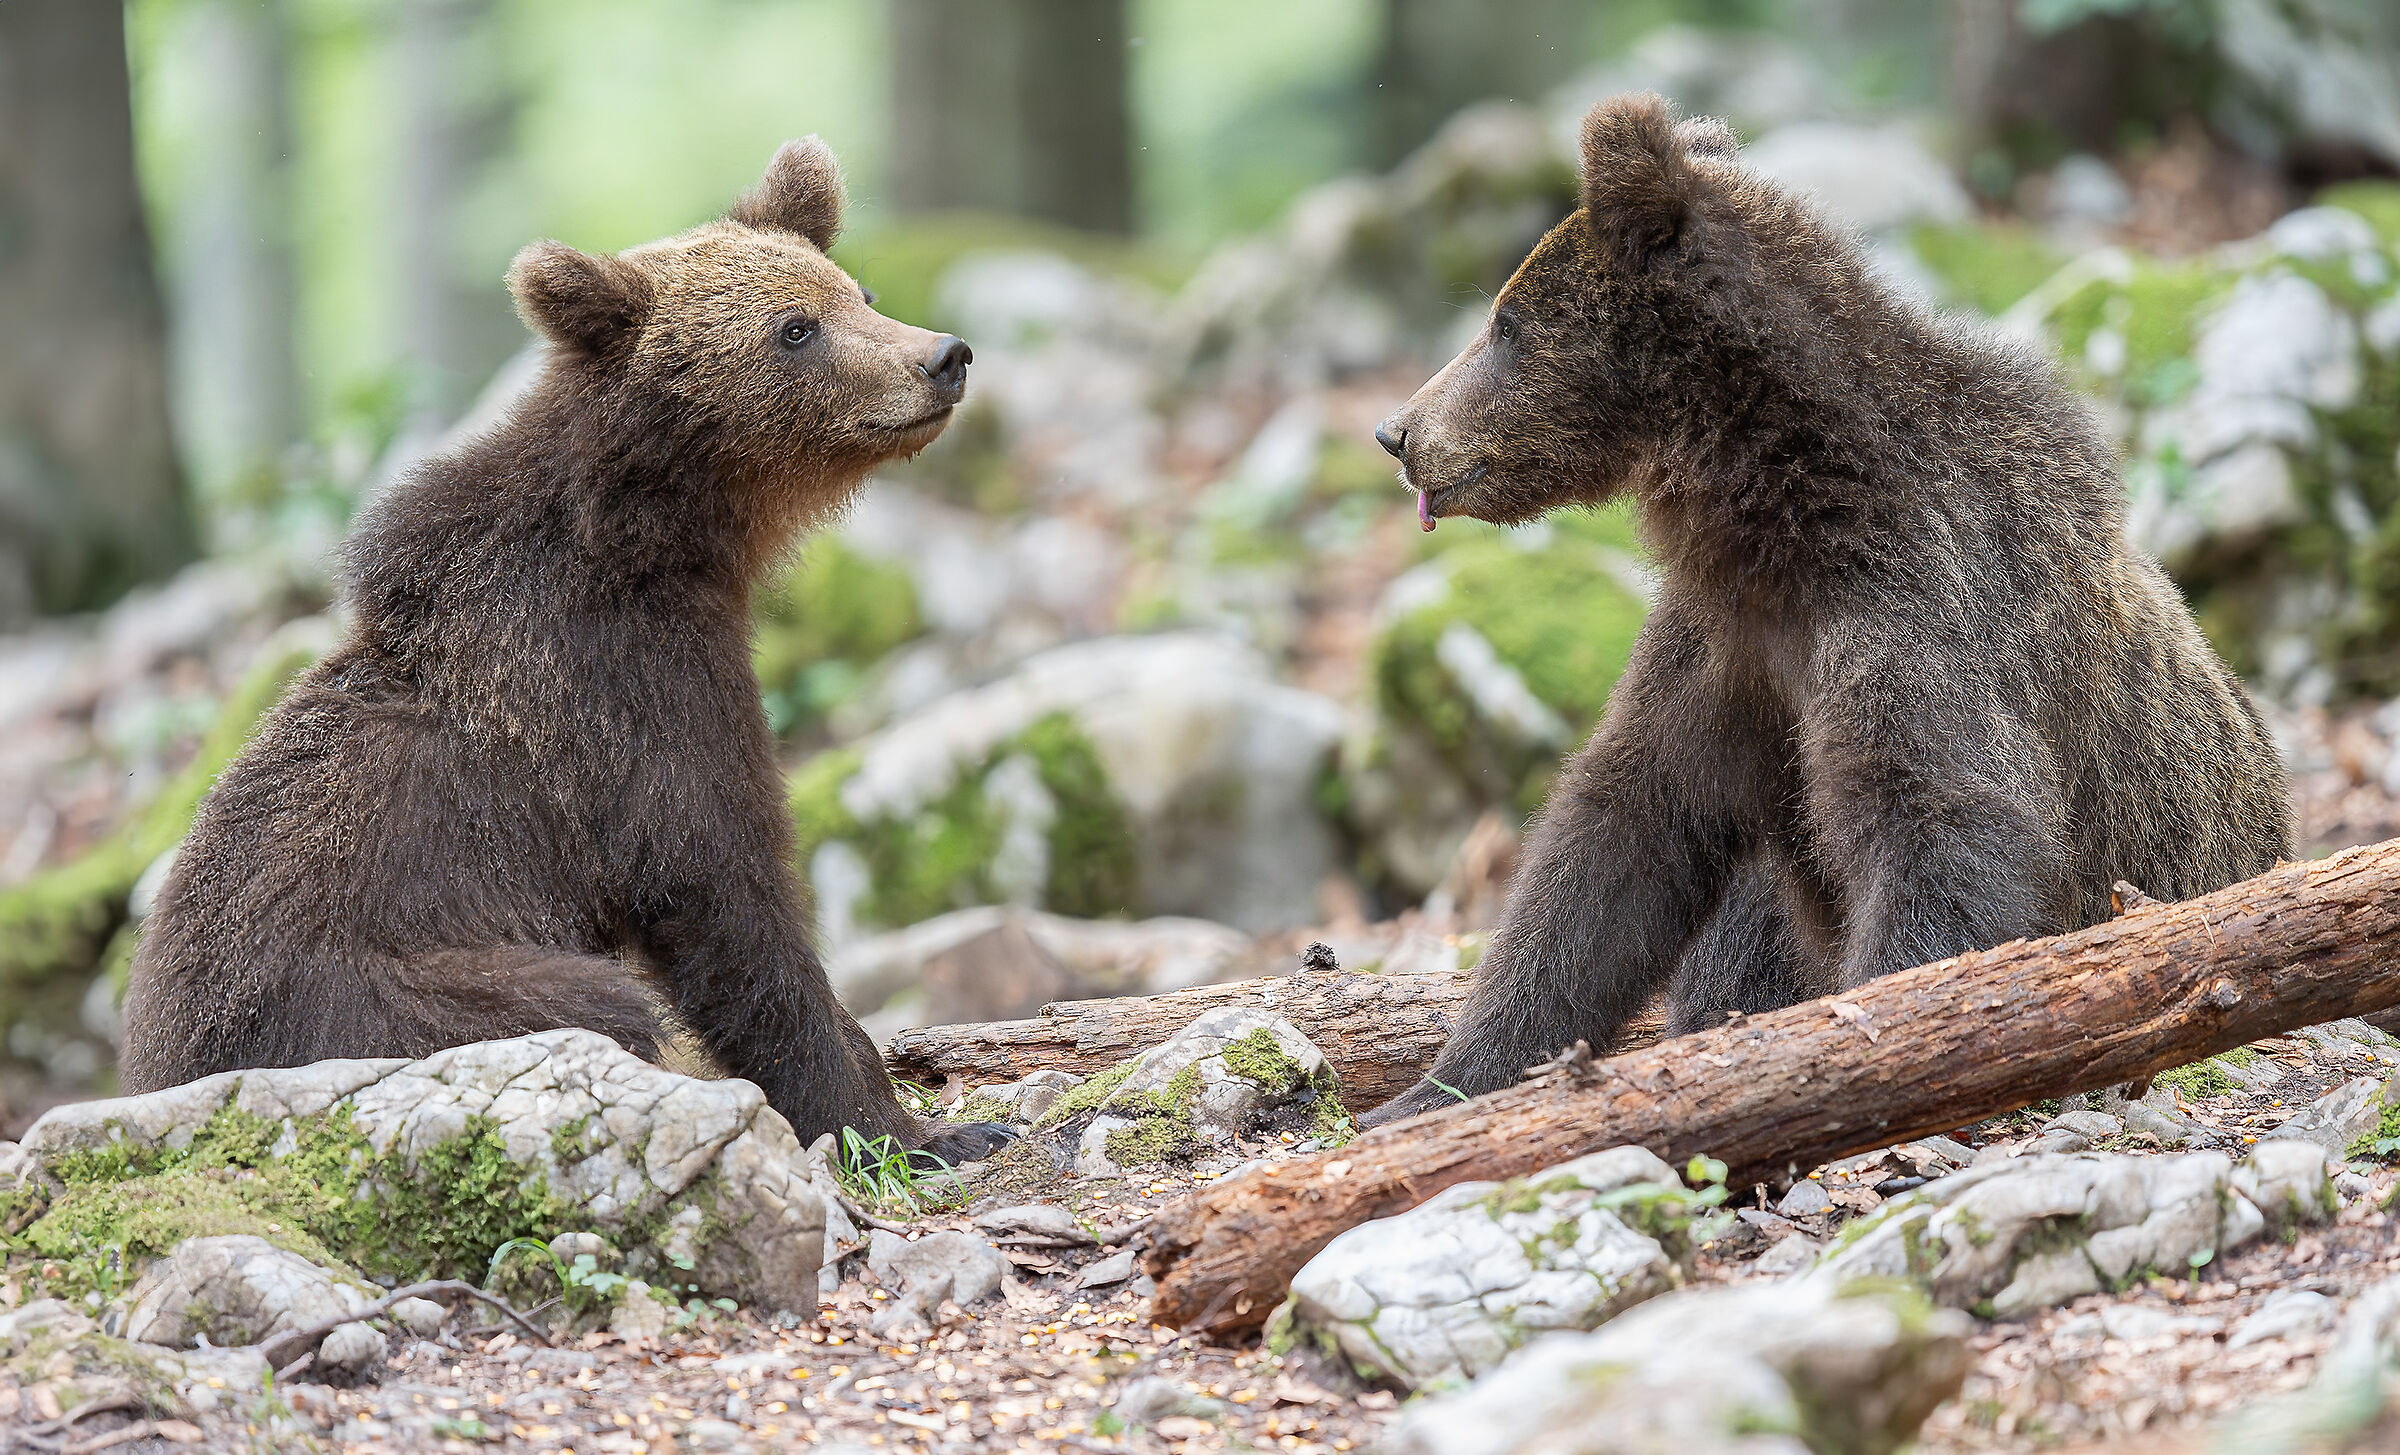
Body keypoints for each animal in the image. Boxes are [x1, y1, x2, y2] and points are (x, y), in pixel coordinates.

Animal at [119, 138, 1010, 1165]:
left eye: (857, 290)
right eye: (794, 328)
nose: (942, 356)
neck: (652, 541)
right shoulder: (624, 692)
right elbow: (724, 891)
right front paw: (916, 1127)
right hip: (372, 1001)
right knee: (591, 997)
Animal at [1360, 94, 2291, 1128]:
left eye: (1506, 324)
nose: (1397, 431)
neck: (1788, 518)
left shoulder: (1922, 607)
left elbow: (1946, 822)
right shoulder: (1726, 644)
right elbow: (1615, 839)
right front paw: (1435, 1088)